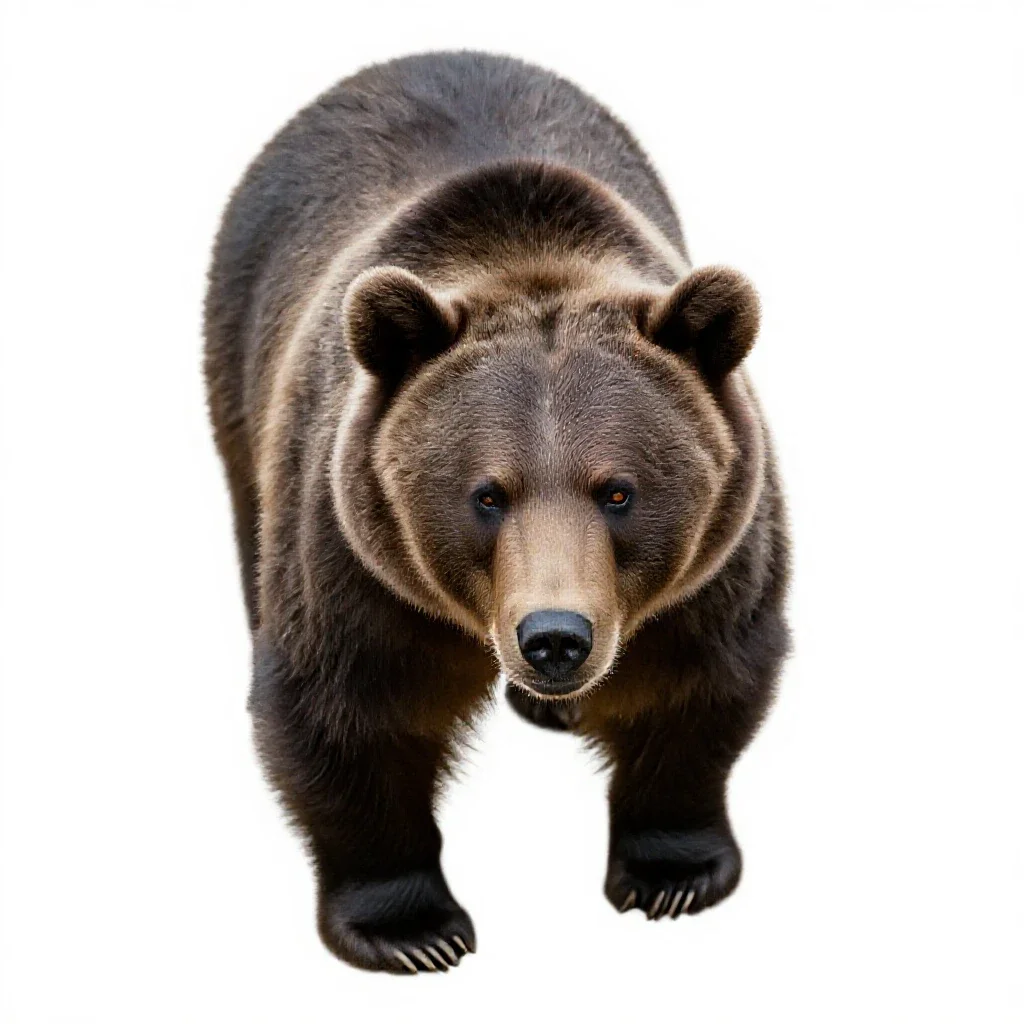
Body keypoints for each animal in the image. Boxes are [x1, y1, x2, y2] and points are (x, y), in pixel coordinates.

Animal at [204, 51, 790, 974]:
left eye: (618, 490)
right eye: (487, 493)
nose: (555, 637)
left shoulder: (716, 558)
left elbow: (697, 682)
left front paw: (672, 874)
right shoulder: (353, 550)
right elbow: (347, 708)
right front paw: (412, 928)